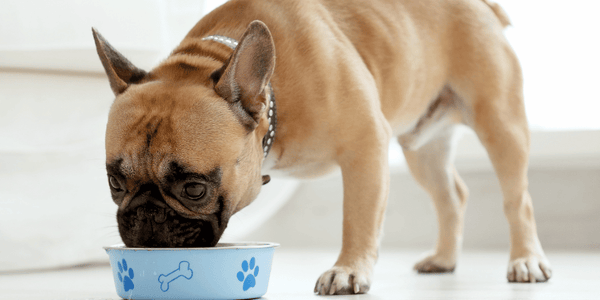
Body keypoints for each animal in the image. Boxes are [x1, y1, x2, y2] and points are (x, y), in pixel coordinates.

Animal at [95, 0, 552, 296]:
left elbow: (358, 218)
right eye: (115, 184)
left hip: (501, 124)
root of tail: (482, 6)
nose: (145, 216)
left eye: (194, 188)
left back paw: (526, 260)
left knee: (519, 200)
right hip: (423, 149)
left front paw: (348, 271)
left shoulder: (366, 145)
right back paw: (443, 259)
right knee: (451, 196)